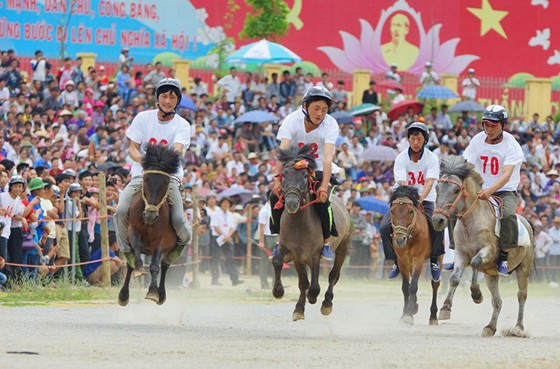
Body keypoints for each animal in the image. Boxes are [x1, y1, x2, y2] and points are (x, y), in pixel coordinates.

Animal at [118, 142, 184, 306]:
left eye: (166, 182)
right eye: (146, 178)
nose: (150, 215)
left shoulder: (161, 242)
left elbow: (155, 266)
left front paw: (153, 292)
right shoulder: (132, 231)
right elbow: (135, 250)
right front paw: (140, 269)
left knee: (165, 264)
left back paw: (162, 294)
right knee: (130, 263)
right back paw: (124, 295)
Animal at [272, 143, 350, 320]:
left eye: (304, 176)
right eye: (284, 174)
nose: (291, 203)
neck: (299, 224)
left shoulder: (314, 255)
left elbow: (314, 286)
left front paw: (312, 297)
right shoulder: (294, 253)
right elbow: (281, 264)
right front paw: (281, 294)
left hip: (343, 247)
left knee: (333, 275)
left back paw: (327, 303)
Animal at [388, 185, 440, 324]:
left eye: (411, 211)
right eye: (392, 211)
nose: (399, 239)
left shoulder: (418, 259)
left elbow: (413, 286)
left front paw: (408, 314)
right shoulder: (402, 261)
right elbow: (406, 286)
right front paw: (407, 312)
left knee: (435, 284)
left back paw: (433, 316)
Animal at [434, 155, 532, 336]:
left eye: (456, 190)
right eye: (437, 187)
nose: (438, 220)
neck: (471, 222)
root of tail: (526, 222)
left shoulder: (488, 251)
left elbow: (475, 263)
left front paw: (477, 294)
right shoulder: (460, 254)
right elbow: (455, 278)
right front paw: (445, 308)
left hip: (523, 269)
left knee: (522, 295)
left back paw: (518, 328)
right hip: (491, 274)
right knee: (497, 301)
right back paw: (490, 327)